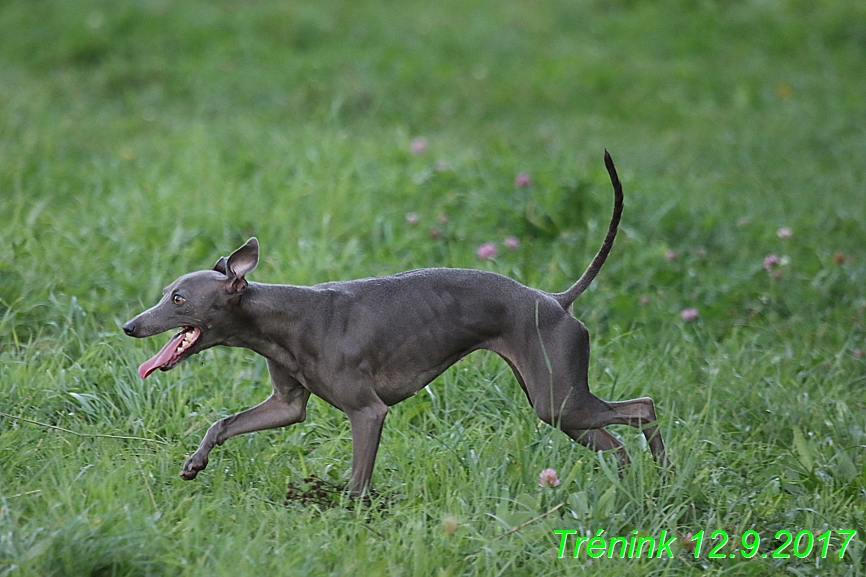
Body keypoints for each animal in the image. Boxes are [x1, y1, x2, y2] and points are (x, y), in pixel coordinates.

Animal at [121, 151, 664, 492]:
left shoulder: (368, 412)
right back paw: (640, 481)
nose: (129, 326)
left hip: (557, 400)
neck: (281, 318)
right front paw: (194, 463)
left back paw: (660, 474)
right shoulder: (286, 406)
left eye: (178, 298)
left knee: (643, 408)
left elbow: (359, 482)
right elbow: (224, 422)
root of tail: (556, 300)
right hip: (557, 404)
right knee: (620, 438)